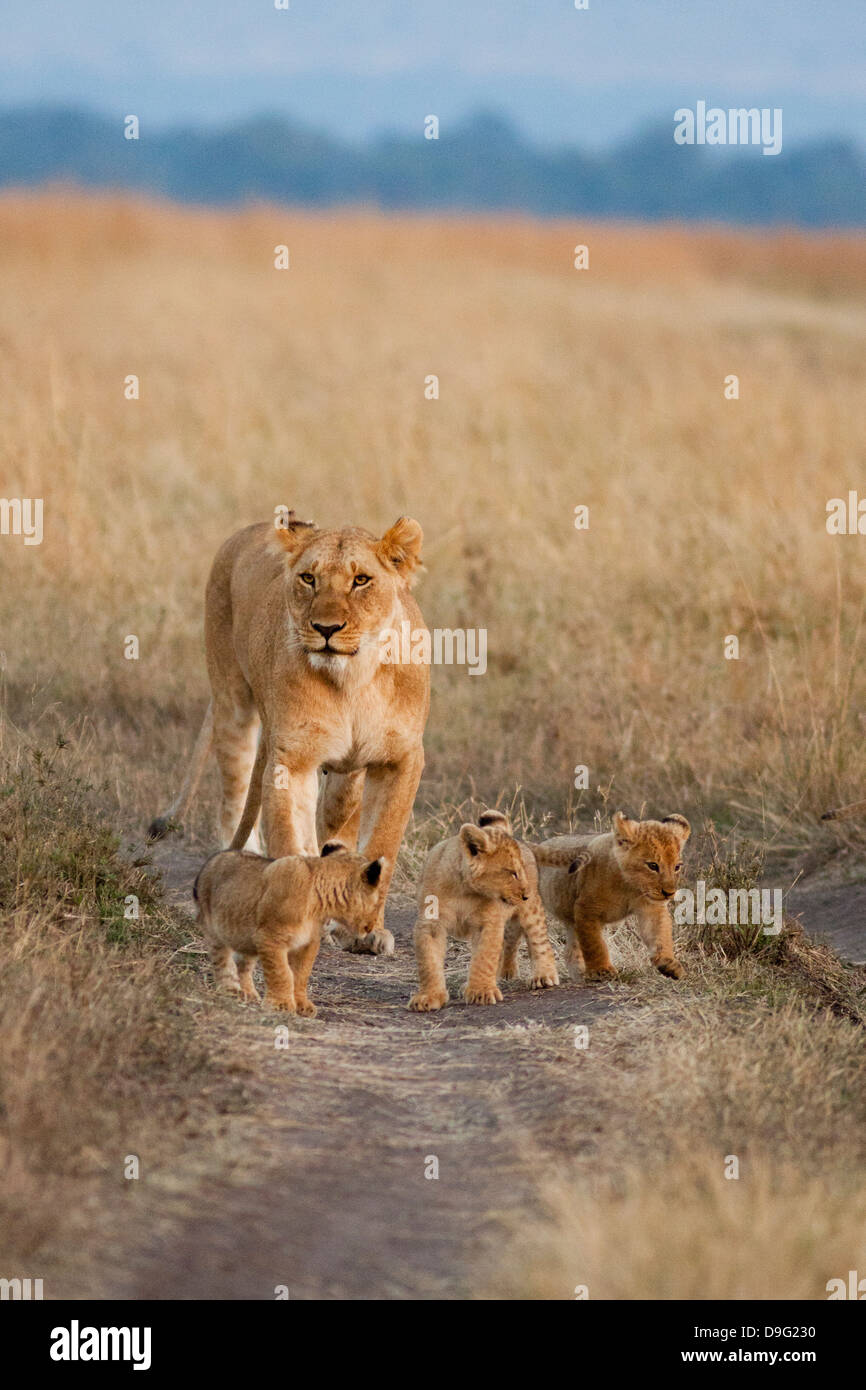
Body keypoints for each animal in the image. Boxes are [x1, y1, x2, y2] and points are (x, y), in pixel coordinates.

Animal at [148, 511, 430, 956]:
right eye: (308, 578)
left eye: (361, 580)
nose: (326, 628)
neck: (353, 678)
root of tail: (256, 526)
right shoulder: (292, 759)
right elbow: (289, 836)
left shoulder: (401, 760)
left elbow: (382, 845)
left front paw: (366, 932)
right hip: (232, 704)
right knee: (235, 798)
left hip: (346, 777)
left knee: (337, 815)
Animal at [194, 840, 388, 1015]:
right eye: (379, 903)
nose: (371, 927)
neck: (319, 902)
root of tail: (211, 861)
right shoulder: (270, 937)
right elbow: (282, 973)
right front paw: (282, 1005)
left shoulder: (308, 943)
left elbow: (301, 974)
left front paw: (302, 1005)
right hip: (215, 931)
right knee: (222, 961)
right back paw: (231, 991)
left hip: (245, 937)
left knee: (244, 965)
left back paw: (249, 993)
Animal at [407, 808, 572, 1012]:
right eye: (512, 873)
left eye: (520, 871)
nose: (525, 894)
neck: (463, 890)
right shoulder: (431, 923)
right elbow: (428, 962)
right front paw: (429, 997)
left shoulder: (489, 921)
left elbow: (485, 957)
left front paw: (482, 992)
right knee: (510, 938)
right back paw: (502, 973)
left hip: (531, 911)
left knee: (538, 939)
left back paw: (543, 976)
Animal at [533, 811, 691, 982]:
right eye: (653, 866)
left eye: (677, 867)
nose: (669, 893)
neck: (629, 886)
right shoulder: (586, 909)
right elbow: (595, 944)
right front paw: (602, 970)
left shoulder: (651, 908)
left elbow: (660, 934)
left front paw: (669, 964)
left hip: (571, 921)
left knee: (570, 950)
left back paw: (578, 975)